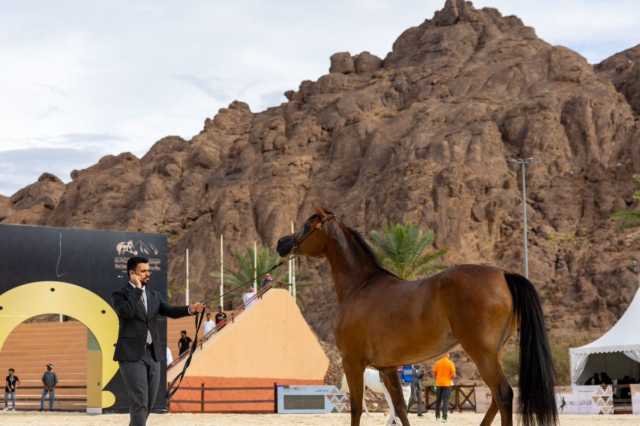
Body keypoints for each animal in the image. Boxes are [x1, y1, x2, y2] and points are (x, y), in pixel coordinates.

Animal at [278, 208, 556, 424]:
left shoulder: (352, 362)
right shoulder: (388, 368)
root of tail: (503, 275)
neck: (361, 286)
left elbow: (356, 409)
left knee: (503, 394)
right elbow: (401, 410)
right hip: (492, 354)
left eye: (307, 225)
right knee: (497, 399)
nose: (282, 243)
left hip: (482, 353)